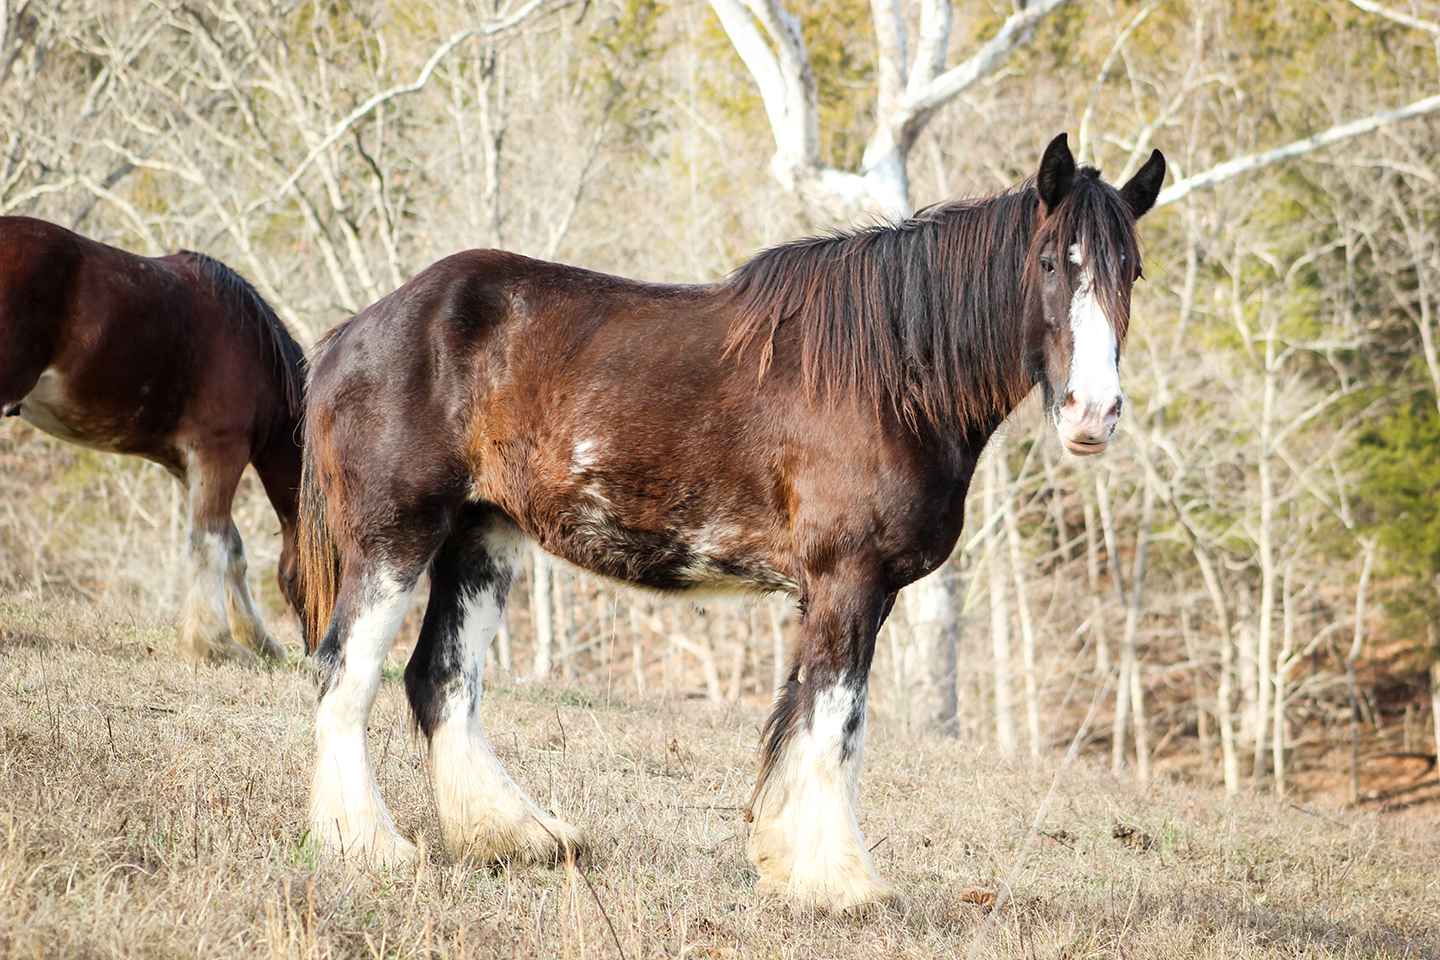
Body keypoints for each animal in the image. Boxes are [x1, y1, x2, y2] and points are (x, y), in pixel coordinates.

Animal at [0, 216, 307, 664]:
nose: (320, 650)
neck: (255, 346)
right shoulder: (221, 453)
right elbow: (211, 545)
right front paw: (216, 645)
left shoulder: (189, 467)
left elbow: (230, 548)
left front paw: (257, 641)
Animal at [296, 134, 1165, 911]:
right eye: (1051, 263)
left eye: (1131, 270)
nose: (1094, 414)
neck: (889, 378)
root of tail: (354, 333)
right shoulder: (847, 580)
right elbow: (834, 722)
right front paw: (840, 884)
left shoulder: (852, 590)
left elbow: (812, 723)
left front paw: (789, 863)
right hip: (395, 540)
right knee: (346, 674)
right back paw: (366, 847)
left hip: (483, 538)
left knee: (443, 679)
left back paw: (516, 838)